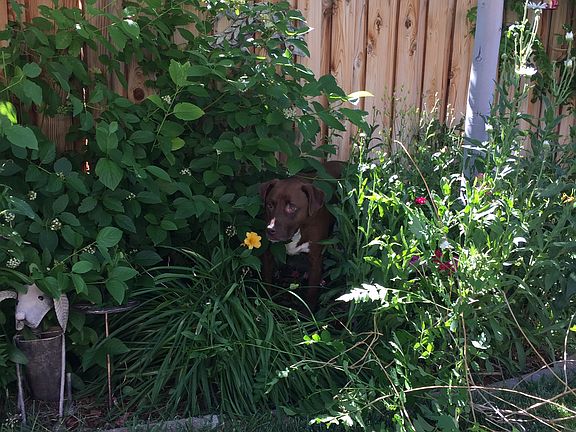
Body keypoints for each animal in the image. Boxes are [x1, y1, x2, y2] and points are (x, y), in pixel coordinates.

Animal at [259, 161, 344, 311]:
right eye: (269, 205)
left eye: (292, 207)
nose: (270, 230)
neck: (297, 230)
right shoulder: (268, 254)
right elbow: (267, 282)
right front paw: (267, 305)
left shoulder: (316, 260)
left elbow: (311, 293)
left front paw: (308, 314)